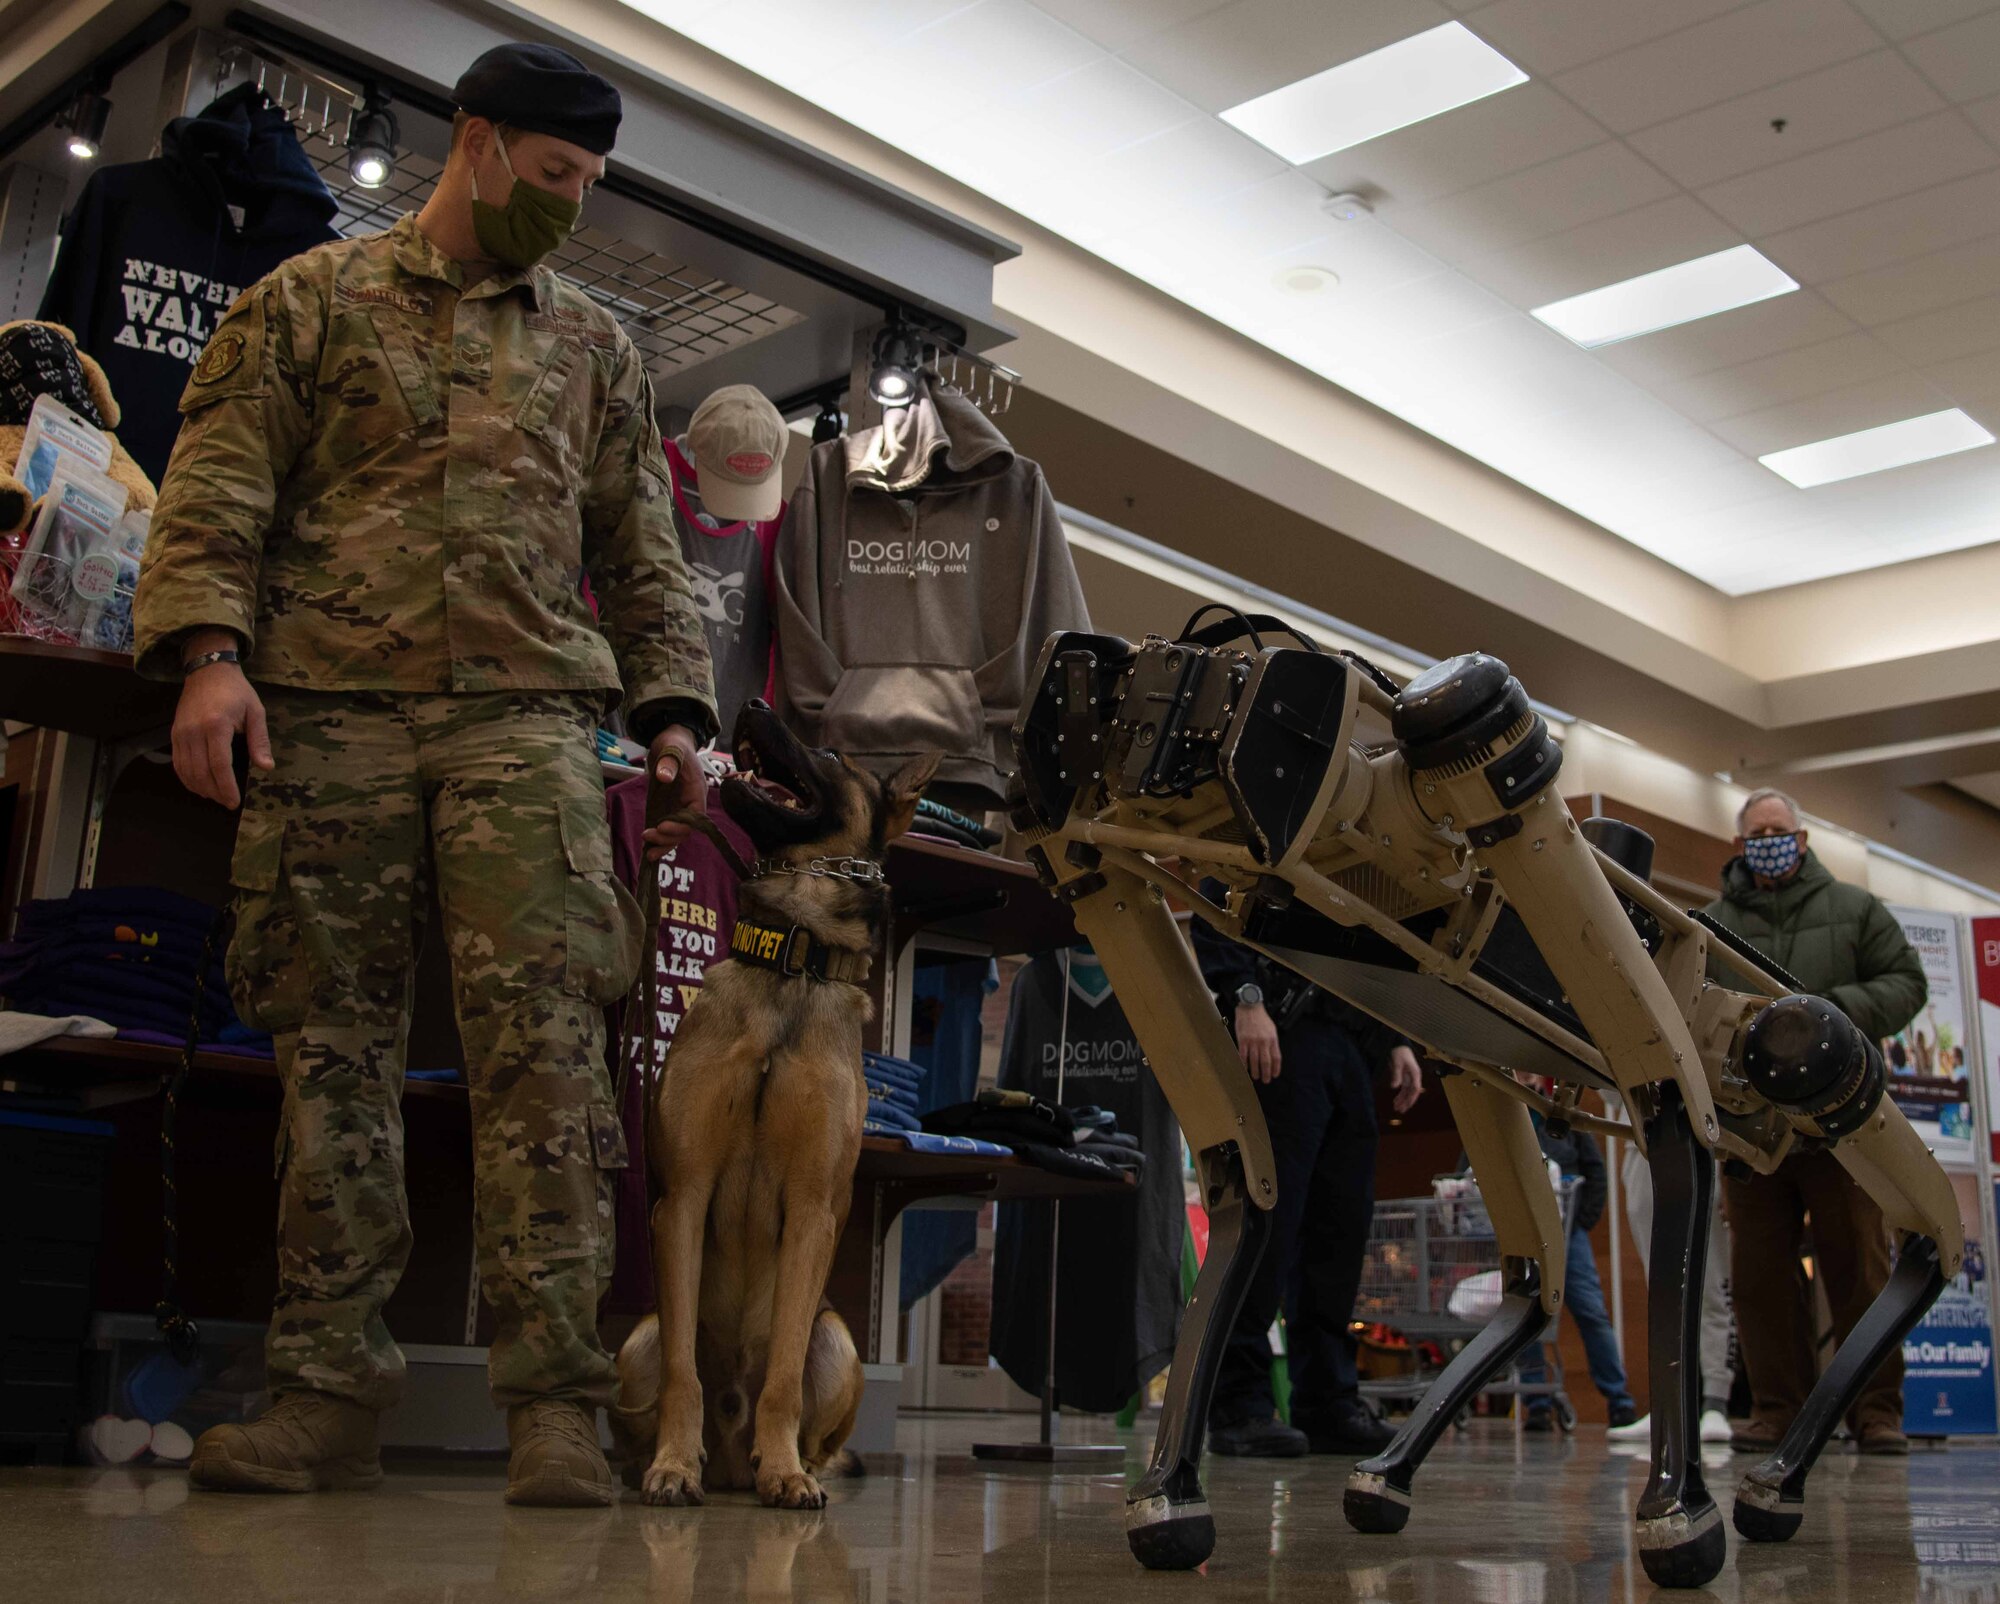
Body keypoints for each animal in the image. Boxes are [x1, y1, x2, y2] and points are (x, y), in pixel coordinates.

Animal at [1008, 608, 1960, 1584]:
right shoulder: (1097, 869)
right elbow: (1248, 1171)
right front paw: (1168, 1488)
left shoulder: (1506, 809)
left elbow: (1678, 1115)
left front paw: (1678, 1507)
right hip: (1479, 1066)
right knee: (1538, 1277)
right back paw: (1394, 1469)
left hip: (1781, 1058)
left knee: (1896, 1176)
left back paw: (1782, 1472)